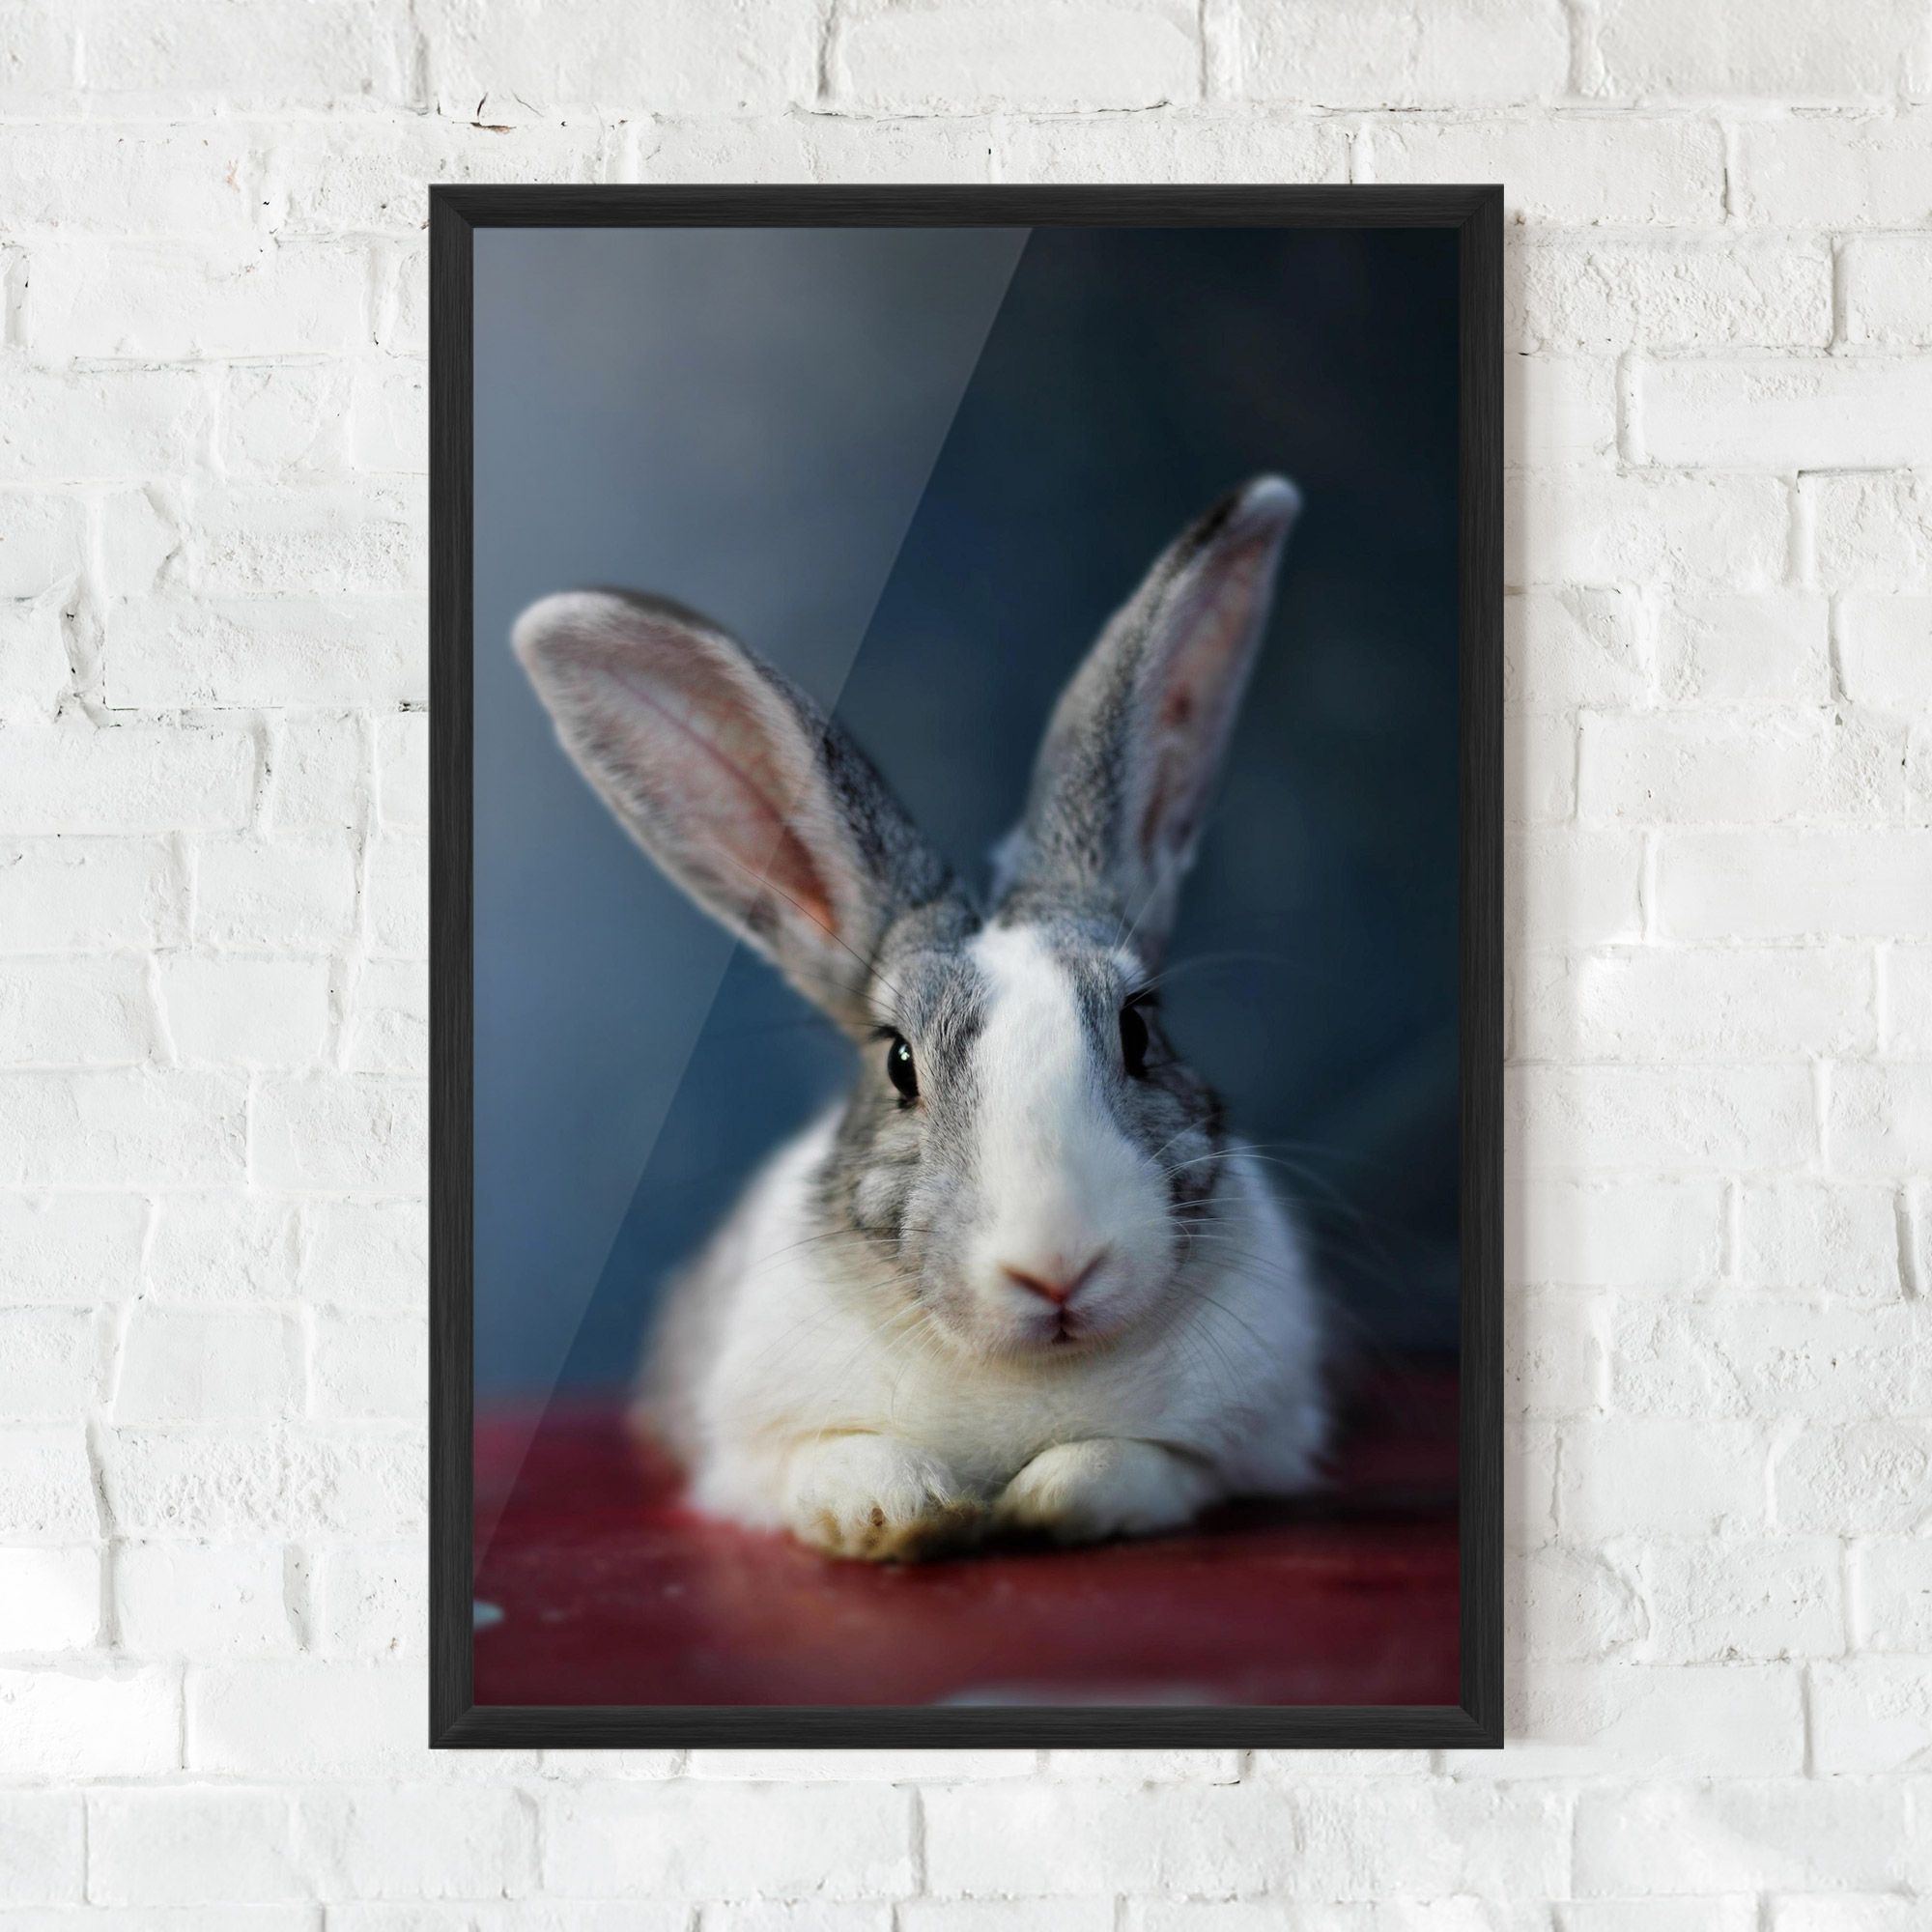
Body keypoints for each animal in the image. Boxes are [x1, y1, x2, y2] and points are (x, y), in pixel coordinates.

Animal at [514, 474, 1330, 1562]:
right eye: (900, 1064)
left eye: (1139, 1029)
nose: (1058, 1268)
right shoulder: (749, 1454)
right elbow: (837, 1462)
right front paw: (902, 1513)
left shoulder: (1236, 1448)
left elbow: (1131, 1465)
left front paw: (1046, 1497)